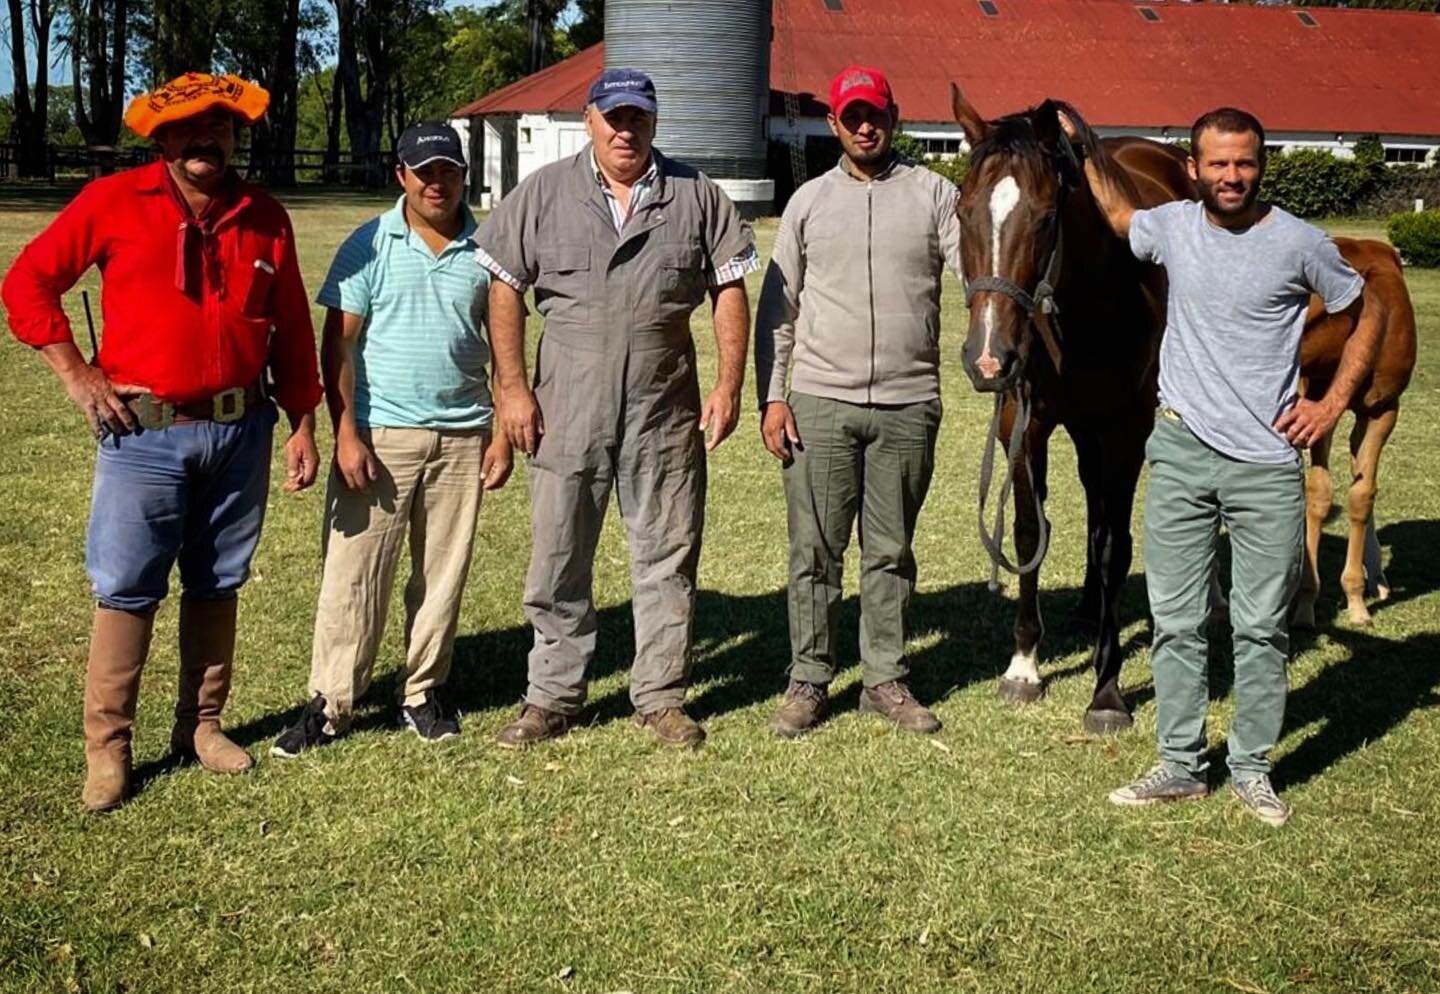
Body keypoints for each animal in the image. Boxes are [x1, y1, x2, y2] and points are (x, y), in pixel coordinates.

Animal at [944, 84, 1192, 731]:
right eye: (962, 212)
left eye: (1047, 217)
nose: (988, 358)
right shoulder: (1022, 423)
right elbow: (1030, 532)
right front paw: (1024, 667)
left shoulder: (1126, 431)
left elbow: (1114, 545)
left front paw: (1107, 690)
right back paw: (1084, 606)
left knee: (1106, 520)